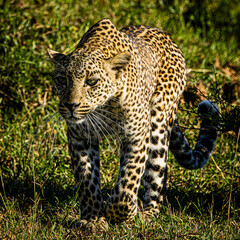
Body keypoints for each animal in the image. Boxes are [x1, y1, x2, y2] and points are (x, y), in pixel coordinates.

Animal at [47, 18, 219, 227]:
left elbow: (128, 179)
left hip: (158, 123)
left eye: (92, 81)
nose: (71, 105)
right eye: (61, 80)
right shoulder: (80, 137)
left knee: (156, 177)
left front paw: (120, 213)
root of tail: (167, 37)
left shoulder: (137, 136)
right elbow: (87, 181)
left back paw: (146, 213)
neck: (103, 107)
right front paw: (92, 219)